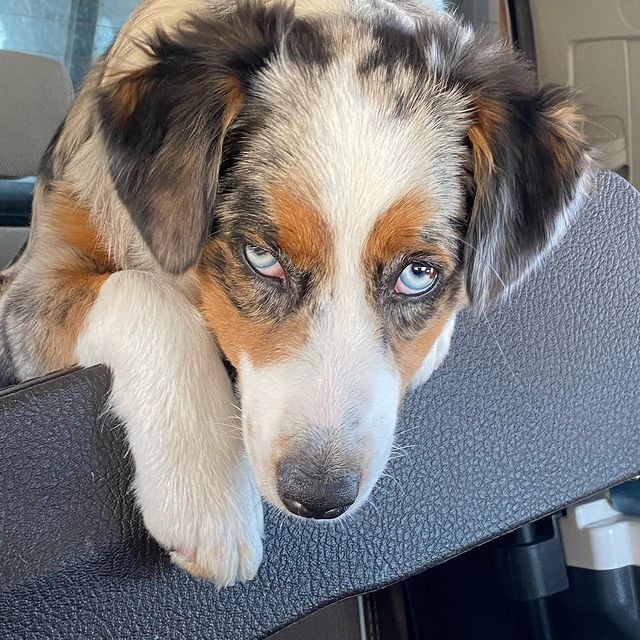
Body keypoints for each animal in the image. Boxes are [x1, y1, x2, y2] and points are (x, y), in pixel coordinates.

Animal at [0, 0, 592, 584]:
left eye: (418, 273)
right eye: (262, 258)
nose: (318, 497)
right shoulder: (25, 290)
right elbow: (143, 293)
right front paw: (206, 495)